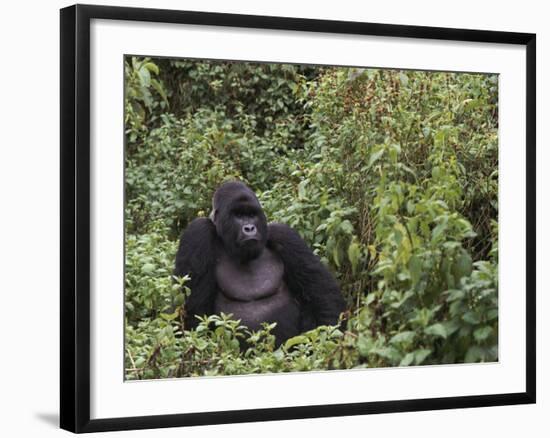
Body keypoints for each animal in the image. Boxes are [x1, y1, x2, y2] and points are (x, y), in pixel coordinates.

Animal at [175, 181, 348, 346]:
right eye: (238, 215)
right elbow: (193, 311)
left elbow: (322, 294)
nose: (250, 228)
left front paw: (329, 340)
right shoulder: (198, 233)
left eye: (252, 215)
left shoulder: (284, 234)